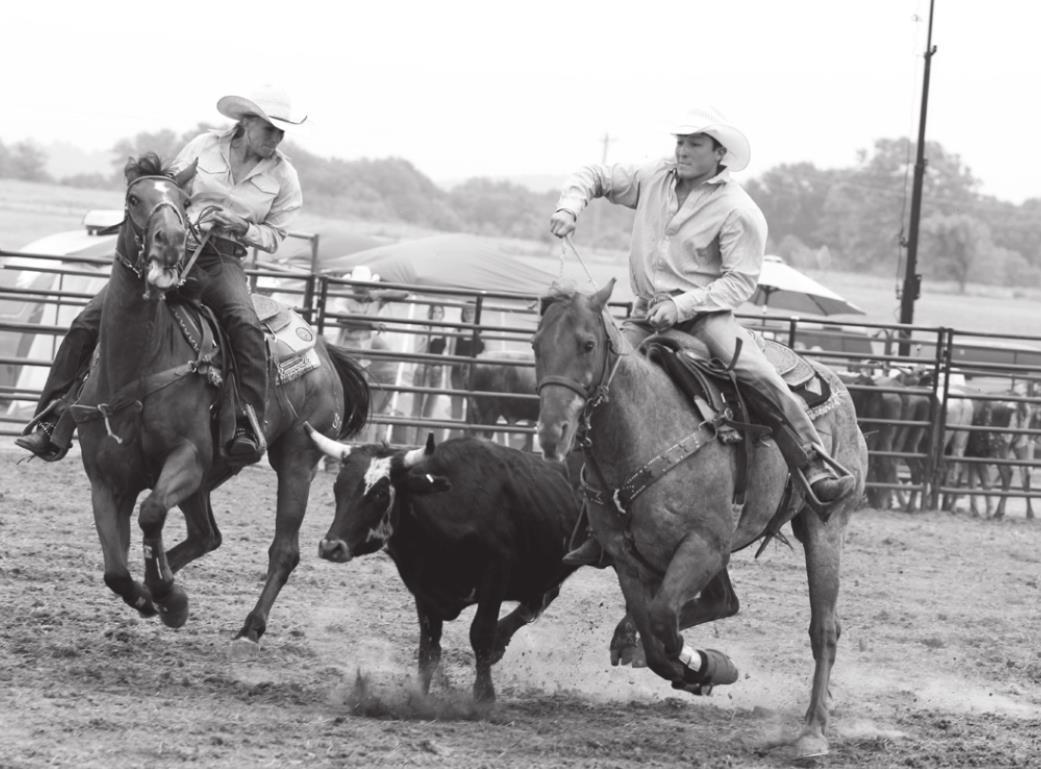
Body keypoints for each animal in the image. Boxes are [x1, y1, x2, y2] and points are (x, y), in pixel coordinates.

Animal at [71, 155, 370, 645]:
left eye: (183, 200)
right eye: (134, 198)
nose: (172, 243)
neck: (139, 363)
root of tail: (323, 347)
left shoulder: (188, 458)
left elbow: (151, 512)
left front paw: (169, 598)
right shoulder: (105, 480)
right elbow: (115, 570)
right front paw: (154, 597)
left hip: (298, 458)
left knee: (283, 549)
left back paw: (251, 626)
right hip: (216, 472)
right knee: (206, 536)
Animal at [532, 278, 866, 761]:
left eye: (587, 344)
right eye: (536, 345)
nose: (551, 432)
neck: (643, 431)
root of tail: (835, 382)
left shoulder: (702, 545)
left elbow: (663, 622)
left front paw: (708, 668)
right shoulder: (627, 559)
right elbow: (657, 633)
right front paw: (693, 665)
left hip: (823, 527)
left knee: (824, 628)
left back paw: (813, 731)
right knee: (721, 602)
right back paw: (629, 639)